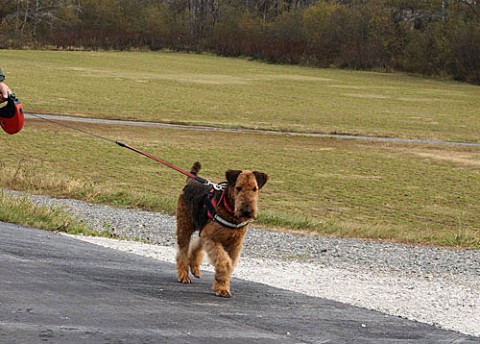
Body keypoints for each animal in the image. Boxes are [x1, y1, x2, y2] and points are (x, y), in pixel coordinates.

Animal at [175, 163, 268, 296]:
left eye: (254, 189)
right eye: (238, 188)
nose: (247, 211)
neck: (231, 212)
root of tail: (191, 180)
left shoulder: (235, 244)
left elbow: (229, 264)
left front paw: (222, 287)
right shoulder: (213, 239)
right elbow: (225, 262)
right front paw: (222, 287)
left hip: (203, 229)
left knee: (196, 245)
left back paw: (194, 267)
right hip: (185, 226)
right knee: (182, 252)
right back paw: (183, 276)